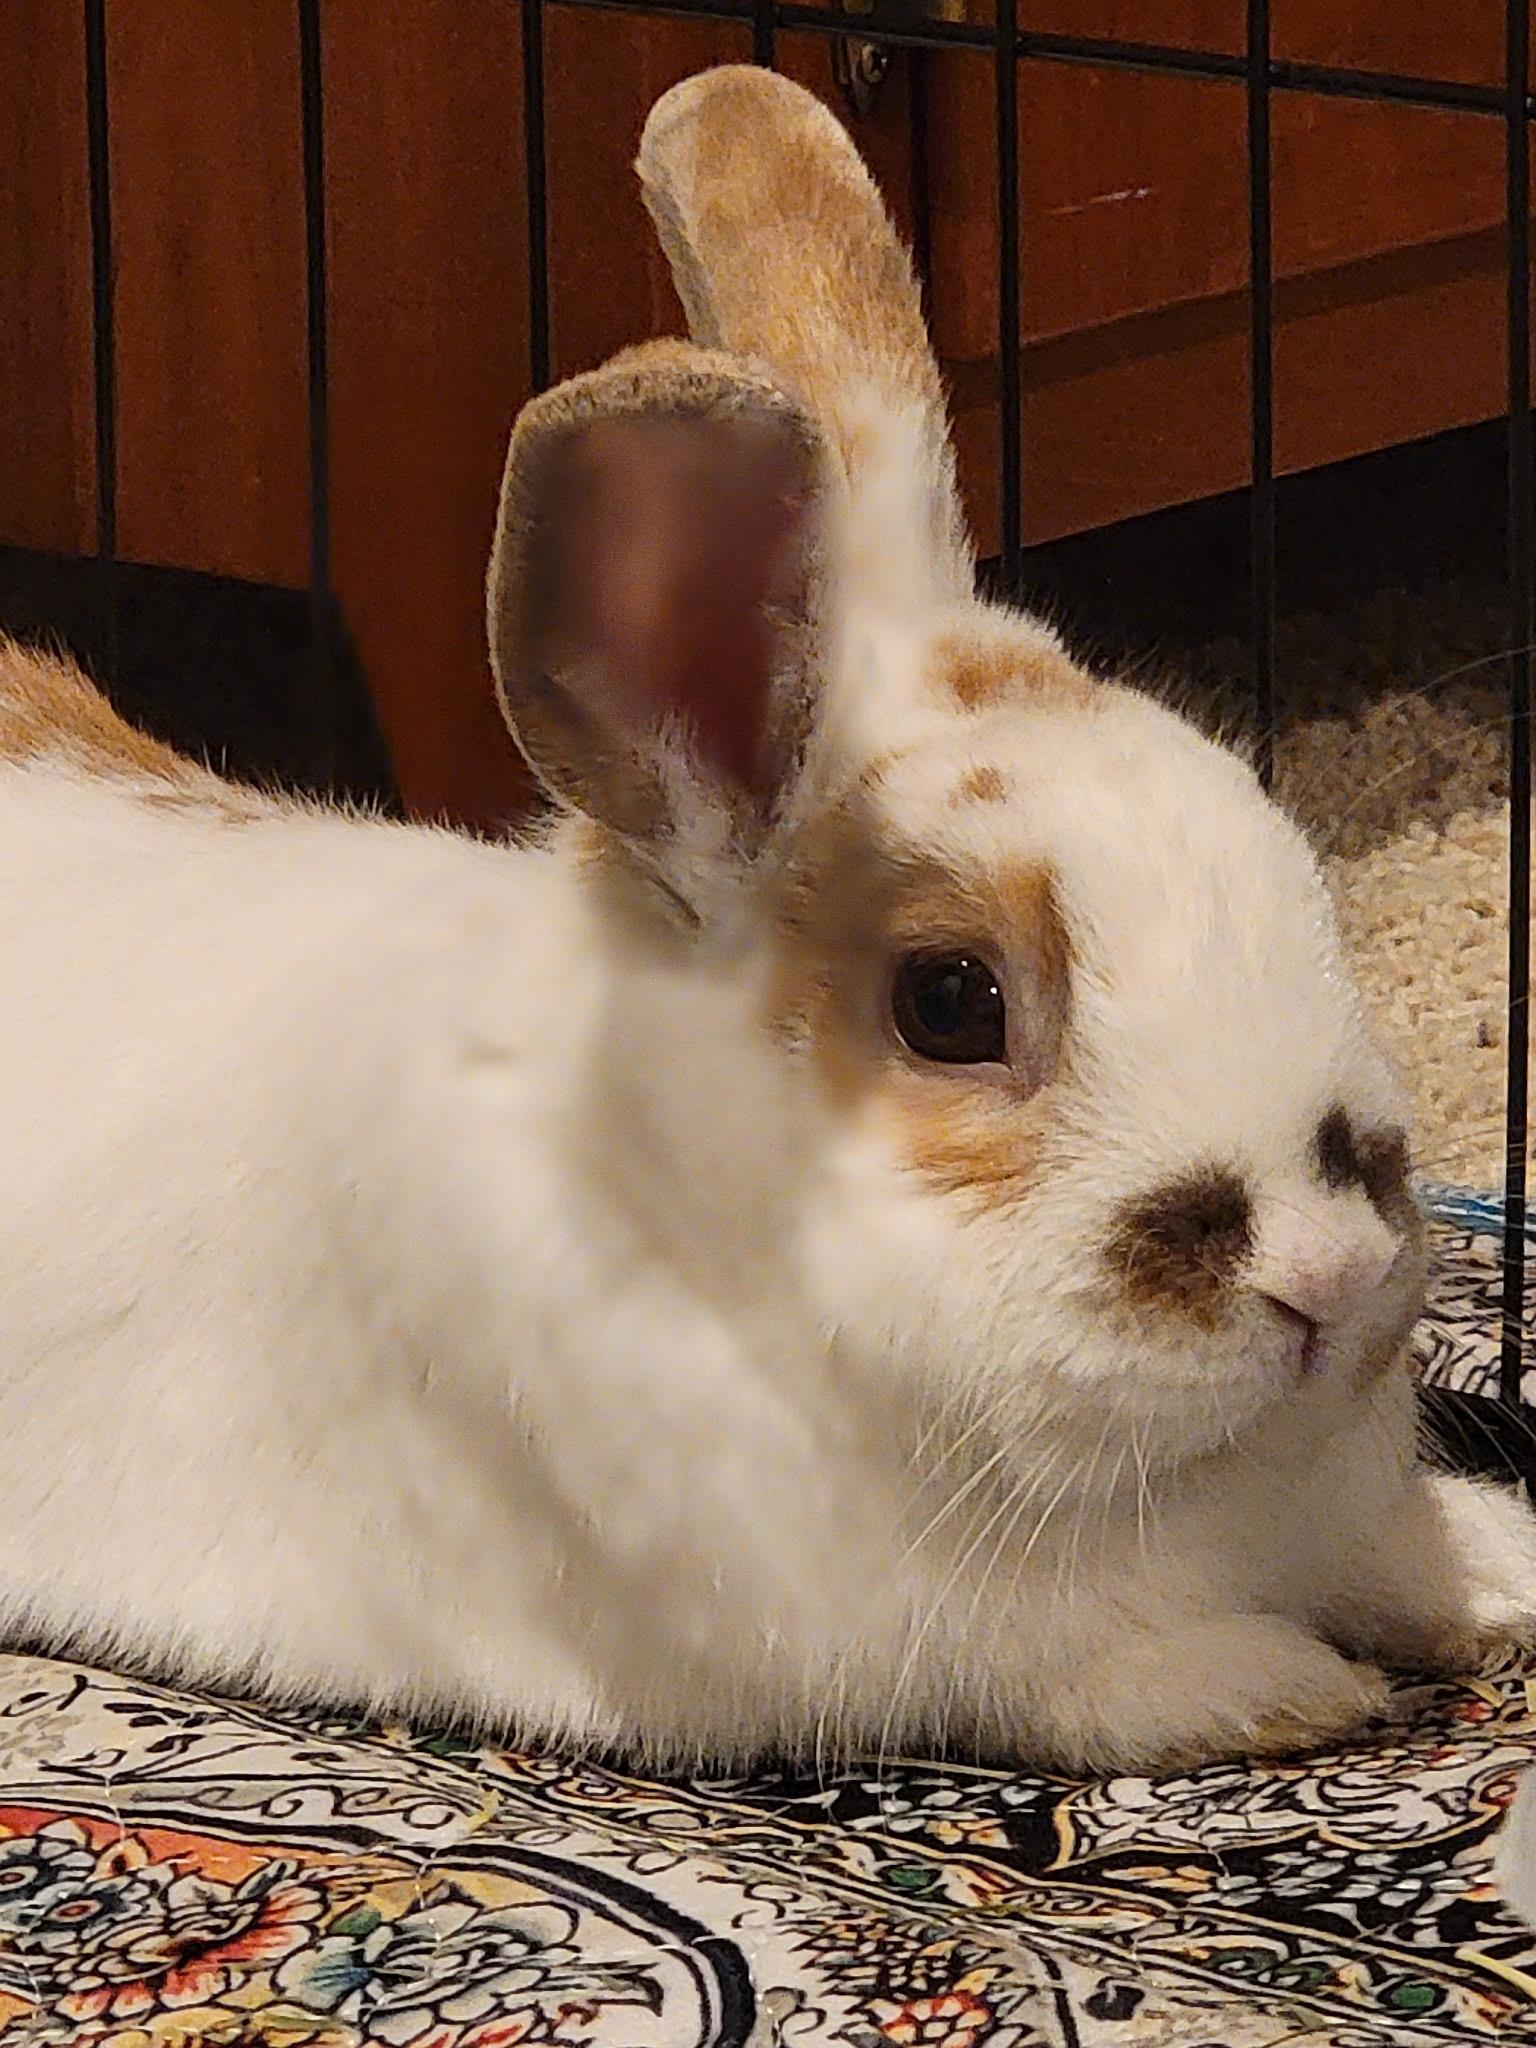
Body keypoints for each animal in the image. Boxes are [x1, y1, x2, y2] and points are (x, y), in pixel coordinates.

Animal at [0, 63, 1532, 1780]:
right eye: (950, 1003)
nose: (1329, 1272)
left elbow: (1396, 1552)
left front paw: (1500, 1572)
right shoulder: (892, 1651)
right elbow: (1095, 1676)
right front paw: (1287, 1687)